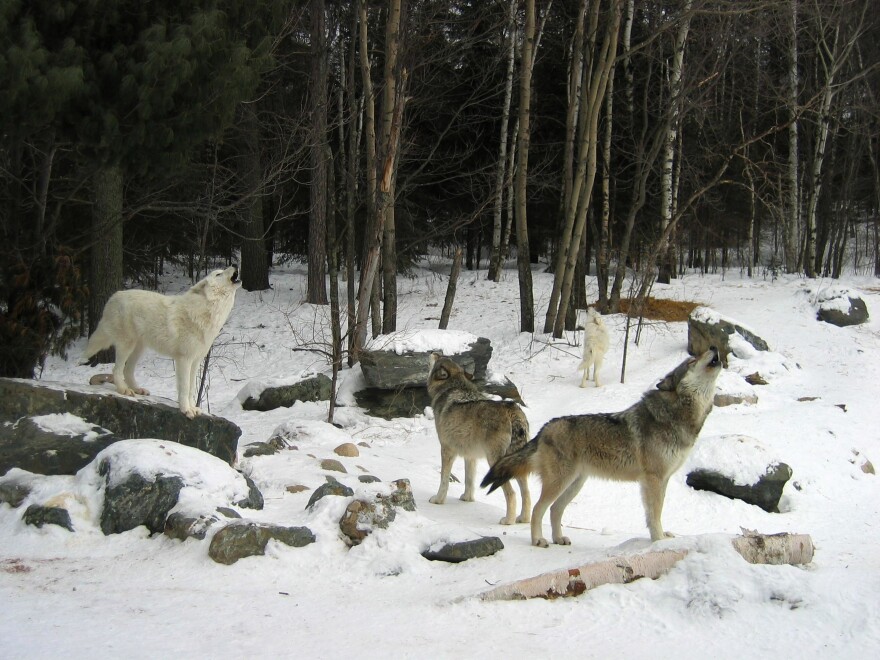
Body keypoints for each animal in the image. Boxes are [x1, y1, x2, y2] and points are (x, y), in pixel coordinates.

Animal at [83, 266, 241, 418]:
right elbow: (184, 388)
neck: (207, 312)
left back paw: (137, 389)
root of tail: (115, 295)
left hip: (139, 349)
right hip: (126, 345)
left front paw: (193, 408)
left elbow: (191, 389)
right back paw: (124, 390)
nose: (235, 265)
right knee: (116, 370)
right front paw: (186, 410)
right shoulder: (184, 360)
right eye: (219, 274)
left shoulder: (196, 361)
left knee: (127, 371)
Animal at [426, 356, 528, 524]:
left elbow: (444, 479)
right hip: (517, 463)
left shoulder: (447, 450)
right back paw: (523, 519)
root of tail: (511, 409)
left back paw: (508, 521)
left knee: (512, 493)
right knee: (526, 493)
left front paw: (438, 500)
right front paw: (467, 499)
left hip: (494, 463)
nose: (433, 352)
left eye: (439, 358)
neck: (452, 387)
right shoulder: (470, 456)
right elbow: (469, 480)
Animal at [482, 348, 720, 544]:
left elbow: (657, 513)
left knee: (555, 510)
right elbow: (655, 514)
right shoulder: (653, 479)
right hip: (559, 482)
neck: (676, 415)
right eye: (692, 361)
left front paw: (662, 536)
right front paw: (658, 540)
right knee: (539, 509)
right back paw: (538, 540)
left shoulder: (663, 479)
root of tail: (545, 427)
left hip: (575, 484)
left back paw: (558, 539)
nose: (714, 347)